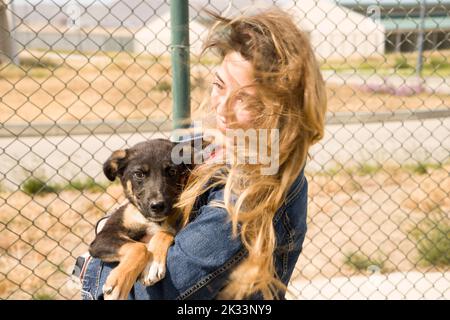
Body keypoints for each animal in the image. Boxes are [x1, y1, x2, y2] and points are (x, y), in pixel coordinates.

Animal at [89, 138, 192, 300]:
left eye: (172, 172)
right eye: (139, 174)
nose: (157, 206)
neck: (152, 220)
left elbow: (164, 233)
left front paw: (152, 265)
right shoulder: (102, 238)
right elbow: (139, 247)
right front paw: (119, 282)